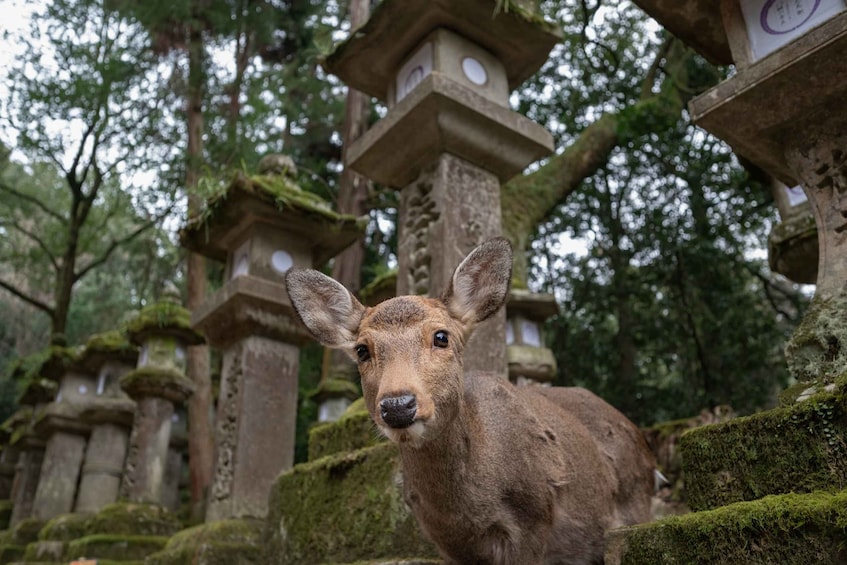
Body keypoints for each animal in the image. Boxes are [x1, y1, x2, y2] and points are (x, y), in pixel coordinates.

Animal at [284, 238, 656, 564]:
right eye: (362, 349)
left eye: (441, 336)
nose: (398, 405)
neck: (468, 512)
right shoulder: (445, 542)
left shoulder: (535, 516)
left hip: (634, 503)